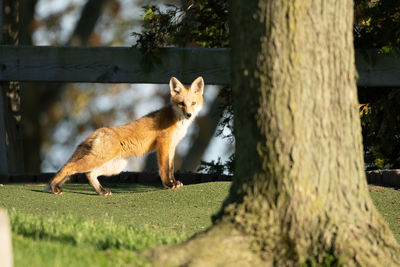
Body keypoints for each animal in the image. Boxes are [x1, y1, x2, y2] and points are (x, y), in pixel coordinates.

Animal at [44, 76, 203, 196]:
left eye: (193, 103)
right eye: (181, 103)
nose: (189, 115)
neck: (177, 120)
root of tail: (99, 130)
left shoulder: (173, 146)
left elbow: (170, 167)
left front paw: (174, 182)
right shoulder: (163, 143)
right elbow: (164, 168)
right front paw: (168, 185)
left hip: (114, 166)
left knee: (90, 174)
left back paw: (101, 191)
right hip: (100, 159)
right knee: (70, 166)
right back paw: (53, 187)